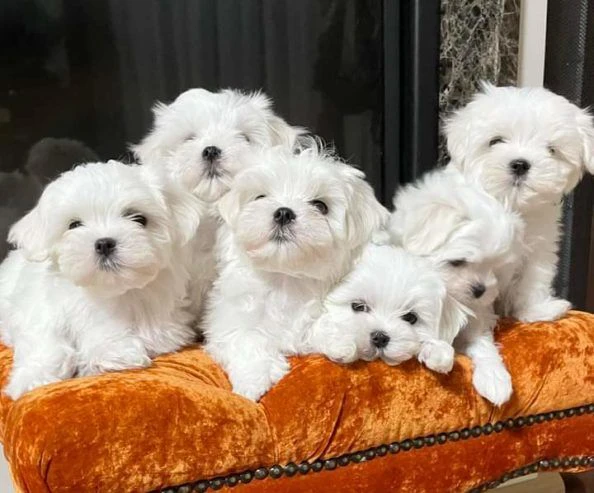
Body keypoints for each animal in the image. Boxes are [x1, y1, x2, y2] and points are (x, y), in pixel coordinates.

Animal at [0, 160, 201, 398]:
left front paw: (112, 352)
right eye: (74, 225)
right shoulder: (37, 310)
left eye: (139, 219)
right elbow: (44, 341)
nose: (104, 243)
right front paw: (32, 378)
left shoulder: (163, 330)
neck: (108, 293)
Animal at [204, 144, 388, 398]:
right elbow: (247, 339)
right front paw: (252, 382)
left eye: (320, 206)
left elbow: (321, 324)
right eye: (260, 197)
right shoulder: (228, 323)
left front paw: (340, 341)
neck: (285, 279)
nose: (283, 212)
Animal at [388, 167, 520, 406]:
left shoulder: (477, 316)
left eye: (494, 268)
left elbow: (482, 342)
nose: (480, 290)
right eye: (458, 262)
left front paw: (494, 378)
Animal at [444, 83, 592, 322]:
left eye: (551, 150)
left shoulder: (539, 248)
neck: (510, 204)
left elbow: (533, 280)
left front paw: (537, 311)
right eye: (495, 141)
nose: (520, 164)